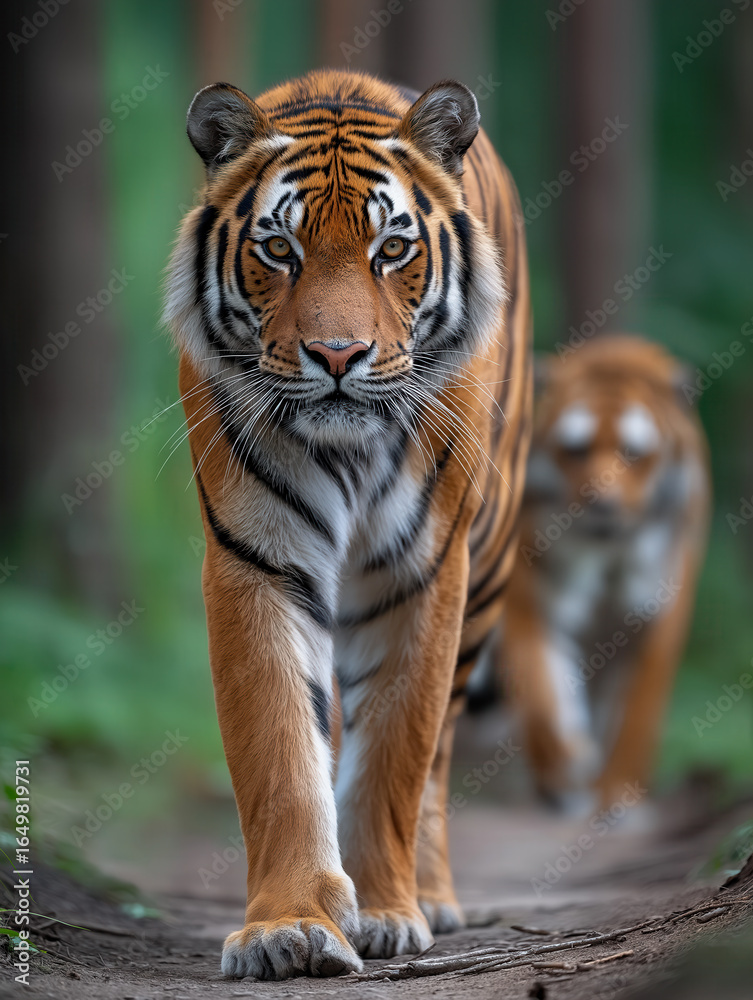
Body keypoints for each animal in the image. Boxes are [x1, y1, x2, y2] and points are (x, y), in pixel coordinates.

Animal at [164, 69, 531, 980]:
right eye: (278, 250)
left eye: (391, 250)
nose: (336, 357)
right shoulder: (256, 558)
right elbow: (281, 755)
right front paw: (289, 927)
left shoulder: (423, 570)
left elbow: (399, 753)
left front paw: (391, 915)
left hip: (488, 569)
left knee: (440, 753)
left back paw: (429, 896)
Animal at [501, 334, 709, 815]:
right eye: (576, 450)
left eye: (633, 453)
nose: (603, 503)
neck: (608, 551)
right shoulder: (531, 595)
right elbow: (541, 686)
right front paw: (567, 768)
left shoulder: (659, 613)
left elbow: (636, 711)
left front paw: (617, 794)